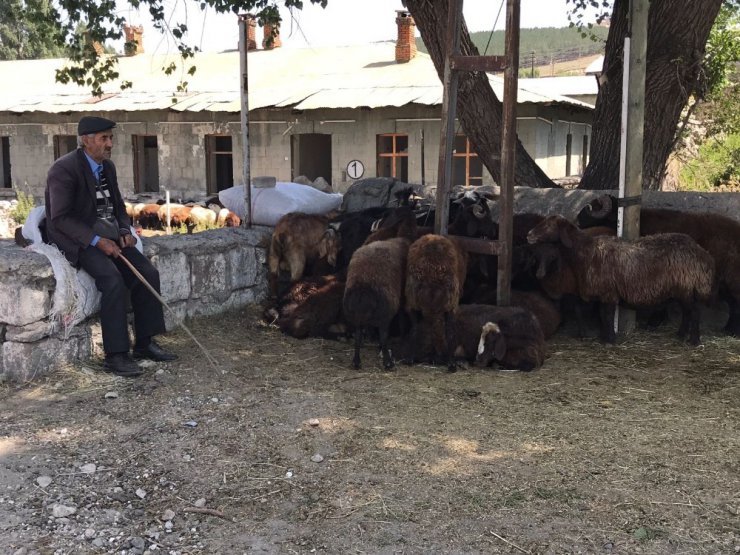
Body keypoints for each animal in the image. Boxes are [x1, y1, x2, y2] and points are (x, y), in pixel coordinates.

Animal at [404, 232, 468, 372]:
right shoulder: (451, 305)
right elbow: (449, 332)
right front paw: (451, 363)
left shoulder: (412, 303)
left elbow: (415, 329)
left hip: (412, 298)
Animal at [528, 215, 716, 346]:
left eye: (549, 225)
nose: (529, 235)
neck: (586, 251)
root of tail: (701, 253)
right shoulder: (601, 292)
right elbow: (602, 314)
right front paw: (604, 336)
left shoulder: (608, 292)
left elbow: (607, 314)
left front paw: (609, 340)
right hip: (682, 289)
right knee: (687, 312)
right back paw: (680, 335)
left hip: (685, 286)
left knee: (694, 312)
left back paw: (694, 341)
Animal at [580, 195, 740, 334]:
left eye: (592, 208)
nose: (577, 222)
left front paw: (654, 321)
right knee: (733, 304)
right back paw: (729, 329)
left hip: (731, 279)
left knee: (735, 303)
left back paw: (731, 330)